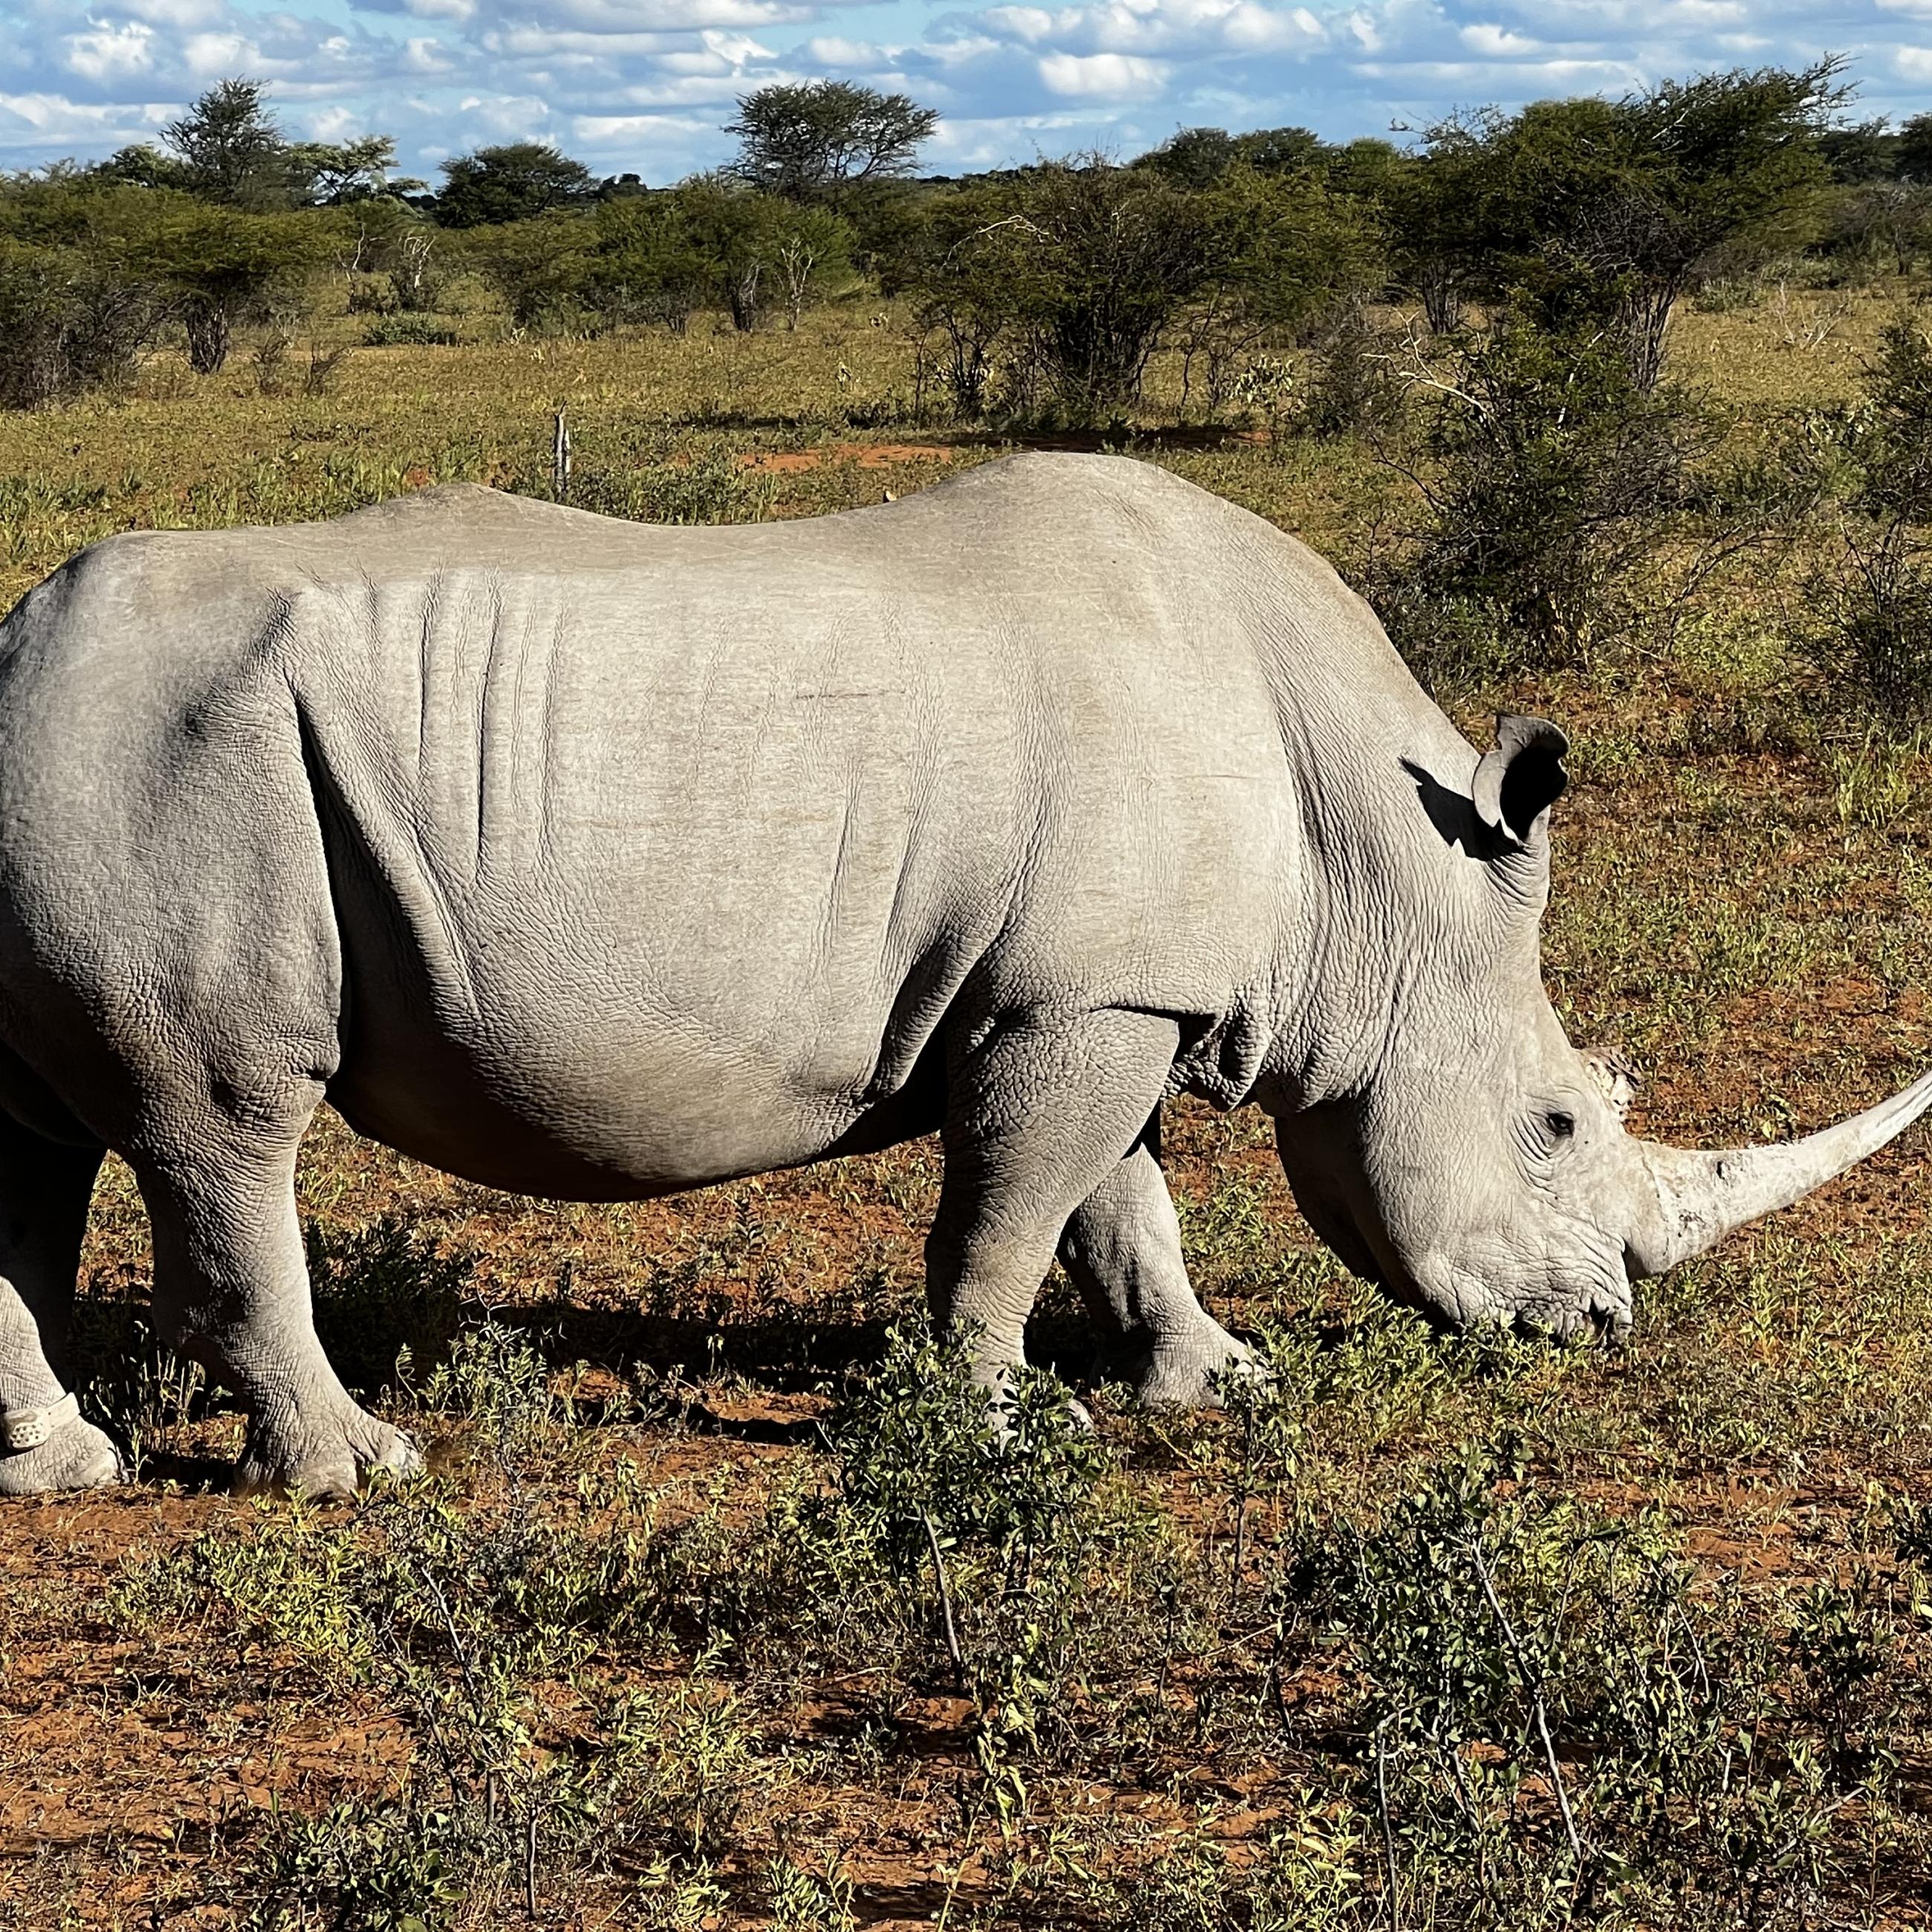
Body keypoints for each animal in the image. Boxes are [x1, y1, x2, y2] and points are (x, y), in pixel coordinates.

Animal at [0, 456, 1916, 1491]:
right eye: (1555, 1124)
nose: (1597, 1330)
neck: (1370, 870)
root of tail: (21, 647)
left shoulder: (1109, 986)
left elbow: (1118, 1204)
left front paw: (1214, 1383)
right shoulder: (1079, 998)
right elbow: (1011, 1210)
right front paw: (1001, 1427)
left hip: (85, 756)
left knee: (33, 1137)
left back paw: (64, 1470)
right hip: (174, 755)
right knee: (225, 1119)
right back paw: (360, 1472)